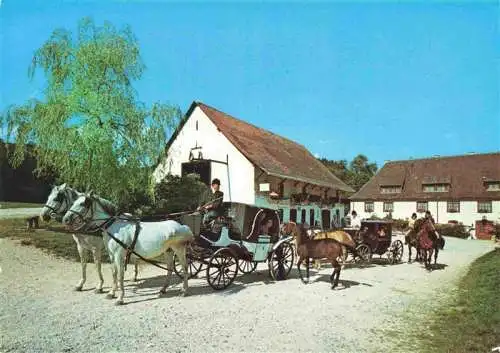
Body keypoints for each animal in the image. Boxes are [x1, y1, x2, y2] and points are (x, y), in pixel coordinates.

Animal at [62, 191, 193, 304]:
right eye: (73, 202)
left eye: (83, 203)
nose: (65, 219)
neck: (114, 227)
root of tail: (182, 226)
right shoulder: (111, 255)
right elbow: (114, 273)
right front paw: (111, 293)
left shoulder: (119, 255)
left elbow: (120, 276)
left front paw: (120, 298)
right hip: (168, 251)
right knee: (170, 269)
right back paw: (163, 289)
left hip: (179, 249)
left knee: (185, 268)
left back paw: (184, 291)